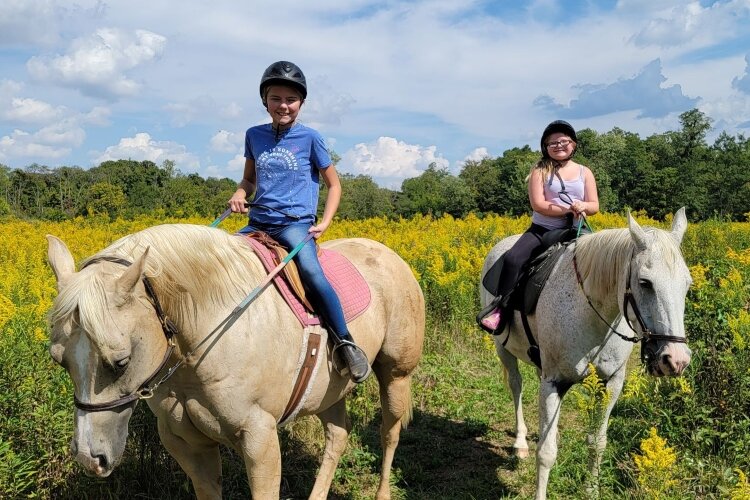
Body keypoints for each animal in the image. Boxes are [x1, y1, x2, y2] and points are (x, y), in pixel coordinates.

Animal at [47, 224, 426, 500]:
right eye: (60, 361)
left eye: (121, 361)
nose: (89, 458)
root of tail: (388, 254)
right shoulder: (185, 441)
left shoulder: (259, 439)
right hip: (329, 391)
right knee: (338, 436)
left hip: (396, 375)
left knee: (389, 433)